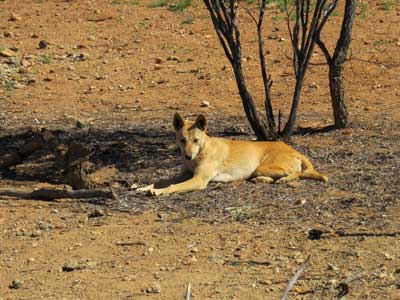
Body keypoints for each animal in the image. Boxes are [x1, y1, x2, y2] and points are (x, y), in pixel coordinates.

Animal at [138, 113, 328, 196]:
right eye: (182, 140)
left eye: (196, 140)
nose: (187, 157)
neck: (202, 150)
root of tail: (295, 151)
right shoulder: (184, 174)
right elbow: (160, 181)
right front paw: (143, 187)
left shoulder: (198, 180)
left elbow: (171, 186)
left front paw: (158, 192)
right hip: (260, 170)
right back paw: (262, 180)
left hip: (263, 166)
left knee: (296, 173)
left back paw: (283, 180)